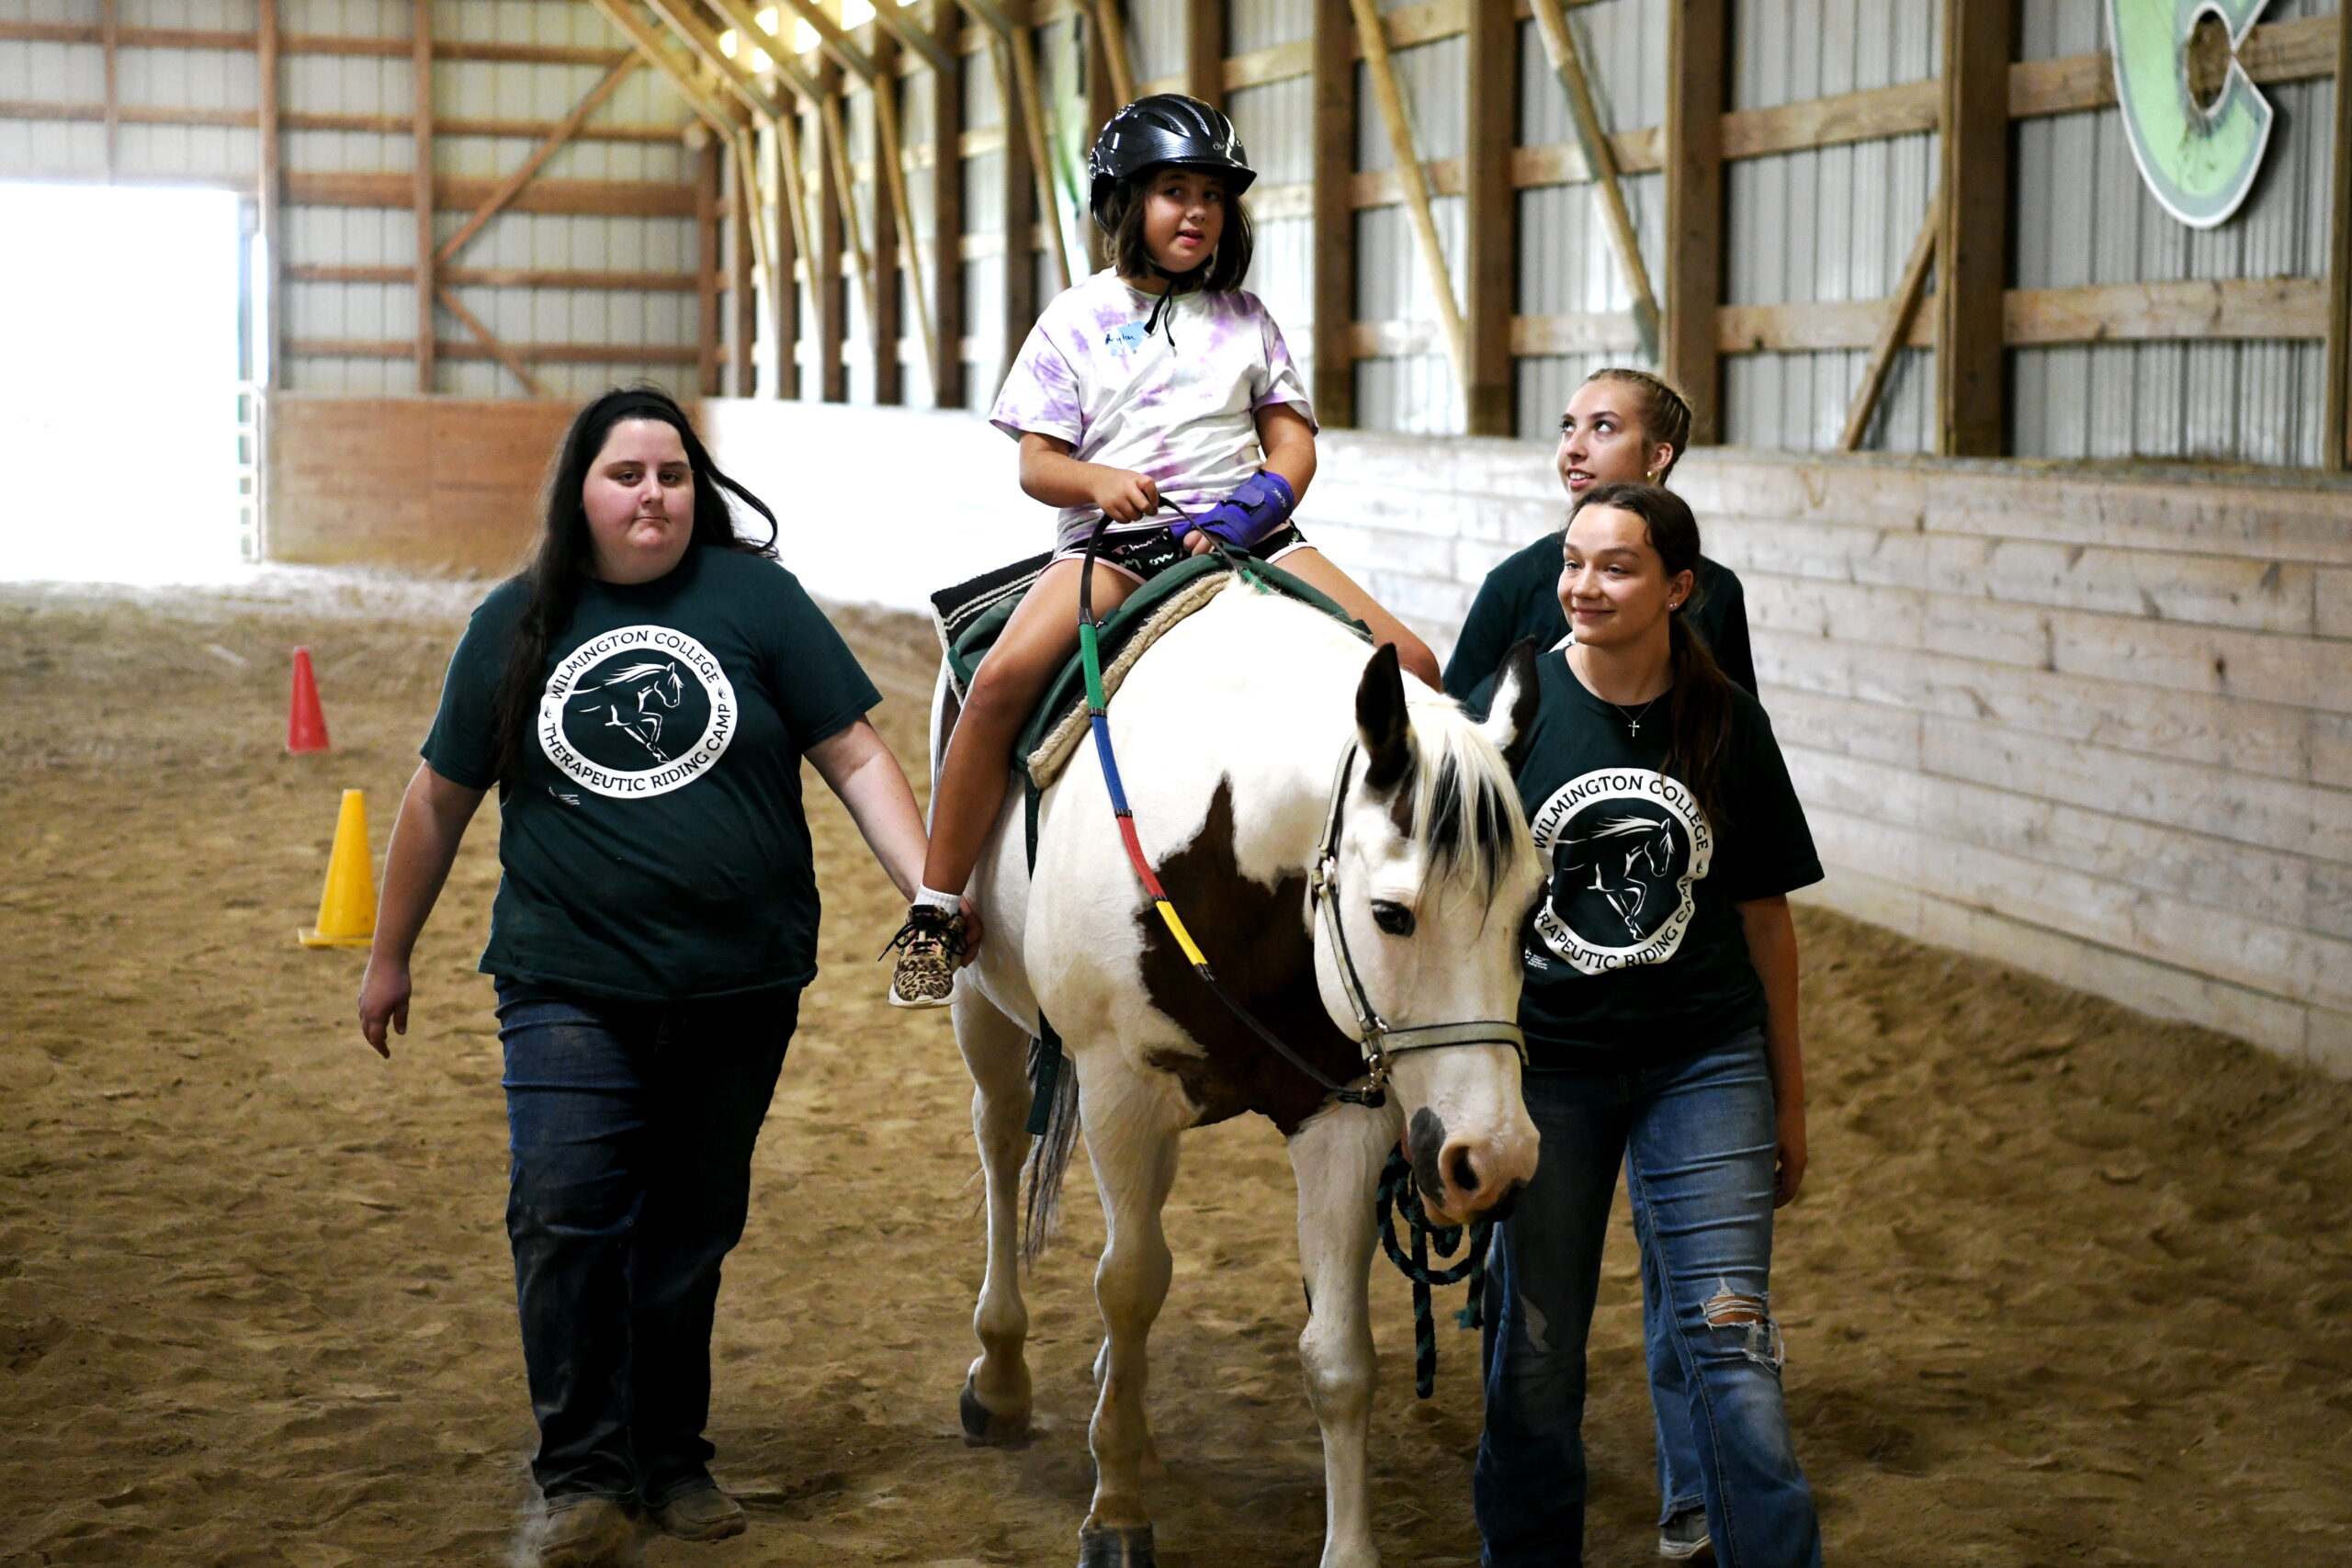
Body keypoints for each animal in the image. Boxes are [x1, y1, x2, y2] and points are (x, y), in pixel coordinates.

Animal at [935, 585, 1543, 1568]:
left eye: (1536, 909)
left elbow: (1338, 1355)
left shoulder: (1340, 1117)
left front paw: (1349, 1549)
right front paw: (1116, 1510)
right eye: (1391, 913)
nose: (1492, 1158)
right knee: (999, 1148)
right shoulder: (1119, 1085)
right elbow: (1128, 1282)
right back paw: (1000, 1375)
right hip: (981, 1003)